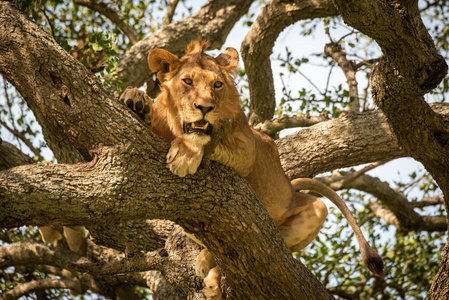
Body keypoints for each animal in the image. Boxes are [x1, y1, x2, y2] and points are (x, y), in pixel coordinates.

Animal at [121, 40, 384, 300]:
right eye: (187, 81)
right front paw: (135, 100)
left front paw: (185, 153)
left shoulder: (248, 148)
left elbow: (205, 140)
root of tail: (291, 188)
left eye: (217, 84)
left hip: (313, 211)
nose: (205, 107)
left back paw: (211, 275)